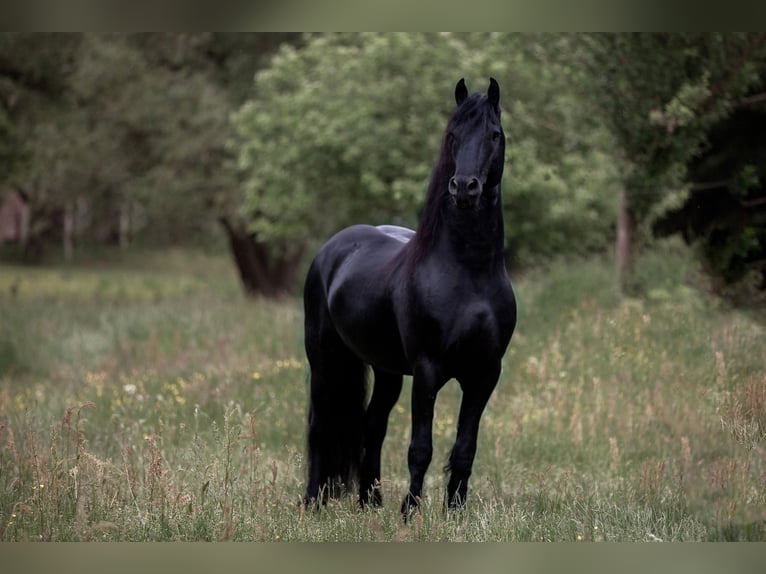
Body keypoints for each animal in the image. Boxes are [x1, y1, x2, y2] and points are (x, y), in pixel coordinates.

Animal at [304, 77, 520, 516]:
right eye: (453, 135)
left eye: (494, 134)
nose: (464, 187)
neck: (469, 274)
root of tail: (332, 247)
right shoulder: (427, 370)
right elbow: (421, 448)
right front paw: (411, 513)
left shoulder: (485, 373)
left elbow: (465, 448)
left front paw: (455, 512)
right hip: (324, 360)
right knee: (321, 426)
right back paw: (313, 502)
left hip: (385, 369)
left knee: (372, 425)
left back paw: (370, 502)